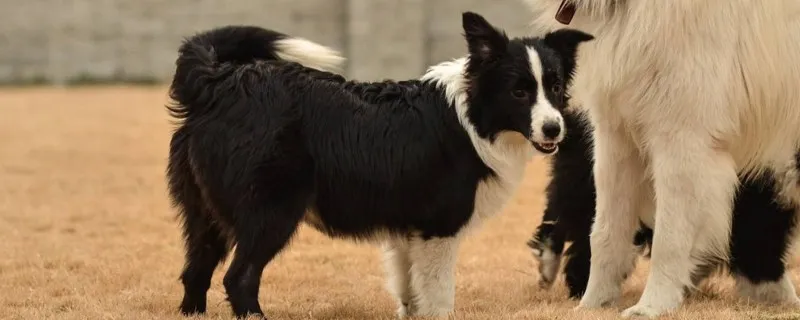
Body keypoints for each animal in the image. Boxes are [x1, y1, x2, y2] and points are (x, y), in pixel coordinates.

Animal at [520, 0, 800, 318]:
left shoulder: (681, 140)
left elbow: (670, 237)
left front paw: (652, 306)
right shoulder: (616, 135)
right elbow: (605, 232)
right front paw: (594, 304)